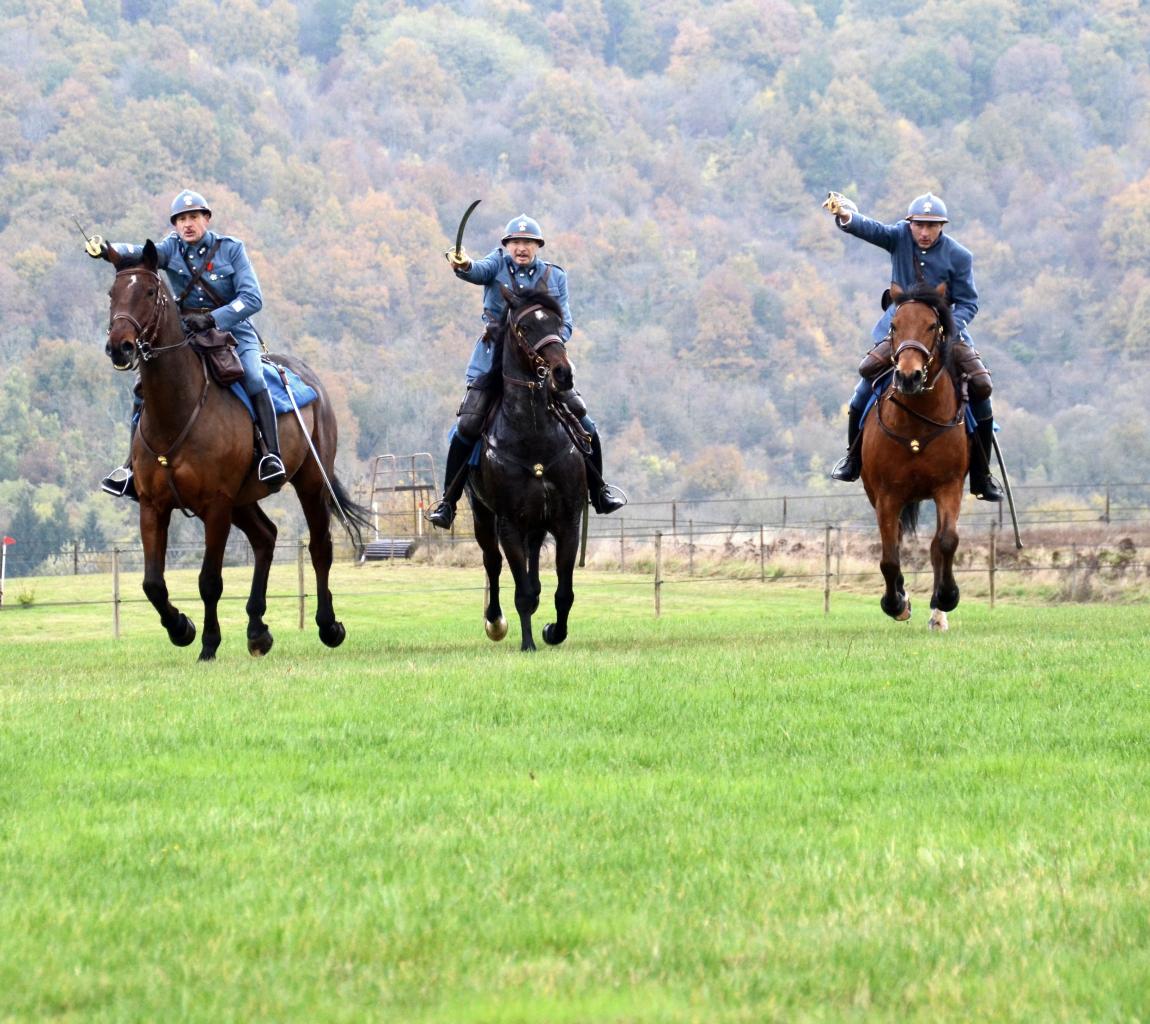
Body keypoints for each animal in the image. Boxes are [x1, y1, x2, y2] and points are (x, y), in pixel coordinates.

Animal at [105, 239, 368, 658]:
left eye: (148, 291)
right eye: (112, 294)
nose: (119, 347)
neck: (179, 408)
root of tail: (307, 376)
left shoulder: (216, 505)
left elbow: (210, 580)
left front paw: (208, 644)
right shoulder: (153, 506)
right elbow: (153, 583)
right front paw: (181, 628)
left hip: (310, 483)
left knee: (319, 548)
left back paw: (328, 626)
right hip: (244, 500)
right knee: (266, 537)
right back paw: (257, 630)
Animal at [466, 283, 588, 648]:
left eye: (558, 323)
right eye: (524, 327)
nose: (563, 373)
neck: (533, 436)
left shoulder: (567, 520)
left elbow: (564, 592)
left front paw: (554, 632)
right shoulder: (509, 524)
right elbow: (521, 592)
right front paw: (528, 644)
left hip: (537, 523)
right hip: (483, 516)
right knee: (492, 563)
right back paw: (495, 621)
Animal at [864, 281, 970, 630]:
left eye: (932, 325)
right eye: (894, 325)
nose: (908, 377)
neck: (916, 422)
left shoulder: (949, 487)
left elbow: (946, 542)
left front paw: (947, 597)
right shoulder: (887, 495)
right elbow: (889, 556)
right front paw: (895, 603)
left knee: (937, 545)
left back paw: (938, 615)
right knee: (895, 542)